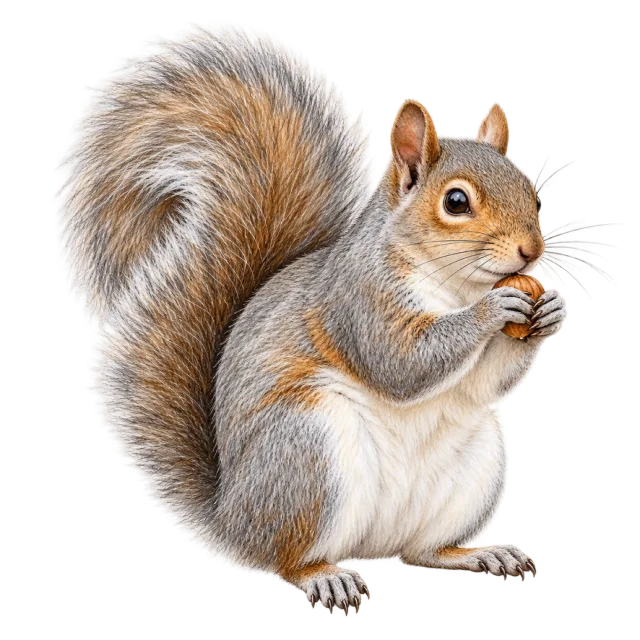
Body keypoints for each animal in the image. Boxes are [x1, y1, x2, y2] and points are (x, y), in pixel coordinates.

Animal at [55, 20, 565, 611]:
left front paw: (550, 312)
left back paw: (480, 554)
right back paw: (324, 576)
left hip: (476, 466)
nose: (531, 252)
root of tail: (232, 517)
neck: (456, 285)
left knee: (424, 550)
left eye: (533, 195)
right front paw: (493, 308)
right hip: (307, 450)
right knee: (287, 558)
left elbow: (484, 382)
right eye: (456, 202)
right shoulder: (358, 298)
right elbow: (400, 363)